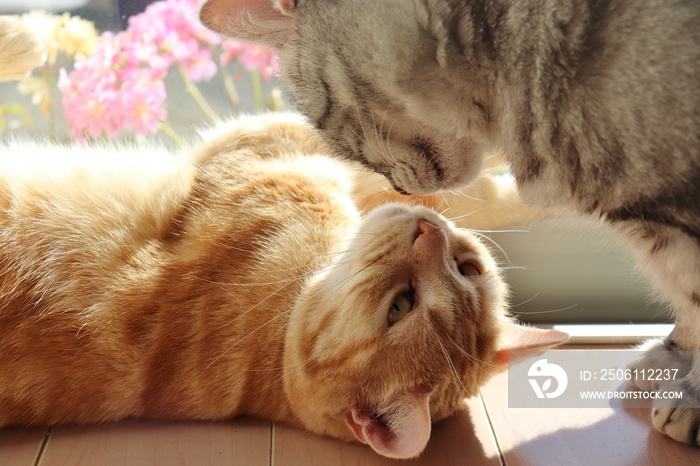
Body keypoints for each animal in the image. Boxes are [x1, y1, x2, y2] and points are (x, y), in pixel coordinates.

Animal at [198, 0, 700, 446]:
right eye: (468, 270)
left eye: (325, 122)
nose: (412, 205)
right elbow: (689, 310)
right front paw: (671, 361)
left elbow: (692, 300)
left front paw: (689, 397)